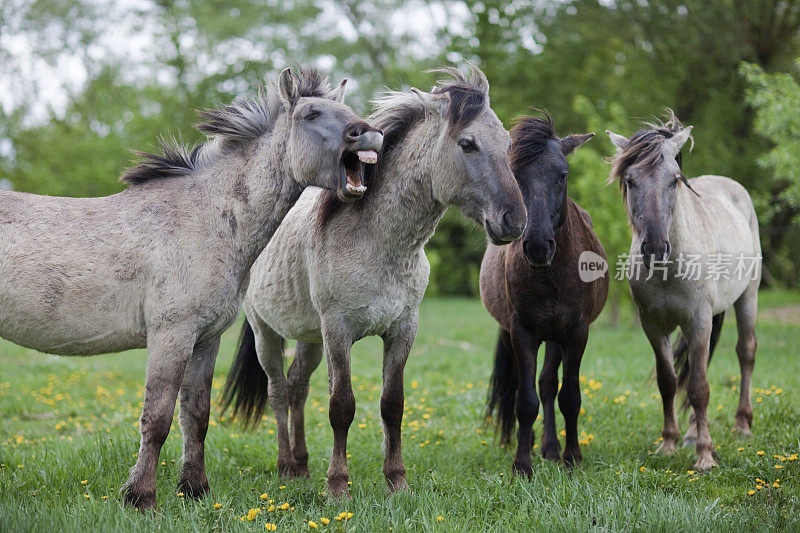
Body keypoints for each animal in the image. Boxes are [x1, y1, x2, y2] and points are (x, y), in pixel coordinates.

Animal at [0, 68, 382, 510]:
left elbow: (196, 416)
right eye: (311, 113)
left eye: (347, 111)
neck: (207, 219)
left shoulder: (206, 339)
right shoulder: (172, 336)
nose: (369, 134)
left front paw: (195, 490)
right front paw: (141, 498)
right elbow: (158, 417)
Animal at [222, 65, 528, 494]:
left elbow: (392, 404)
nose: (514, 221)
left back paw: (302, 466)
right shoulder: (338, 332)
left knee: (298, 386)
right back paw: (285, 467)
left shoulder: (402, 329)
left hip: (309, 338)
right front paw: (338, 486)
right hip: (266, 331)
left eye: (506, 141)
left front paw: (396, 480)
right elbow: (341, 406)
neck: (377, 244)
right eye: (467, 143)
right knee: (279, 391)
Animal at [482, 115, 608, 474]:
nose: (538, 245)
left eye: (562, 175)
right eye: (515, 175)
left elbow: (570, 396)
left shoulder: (576, 332)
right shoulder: (522, 332)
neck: (551, 275)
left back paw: (552, 448)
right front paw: (522, 464)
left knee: (550, 384)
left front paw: (572, 456)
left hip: (556, 337)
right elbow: (525, 401)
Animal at [608, 111, 764, 470]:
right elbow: (669, 382)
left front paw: (705, 456)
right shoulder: (653, 325)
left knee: (745, 352)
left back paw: (742, 425)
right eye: (631, 181)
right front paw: (669, 444)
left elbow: (699, 388)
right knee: (696, 366)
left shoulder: (698, 320)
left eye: (674, 180)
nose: (654, 247)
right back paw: (692, 433)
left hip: (747, 297)